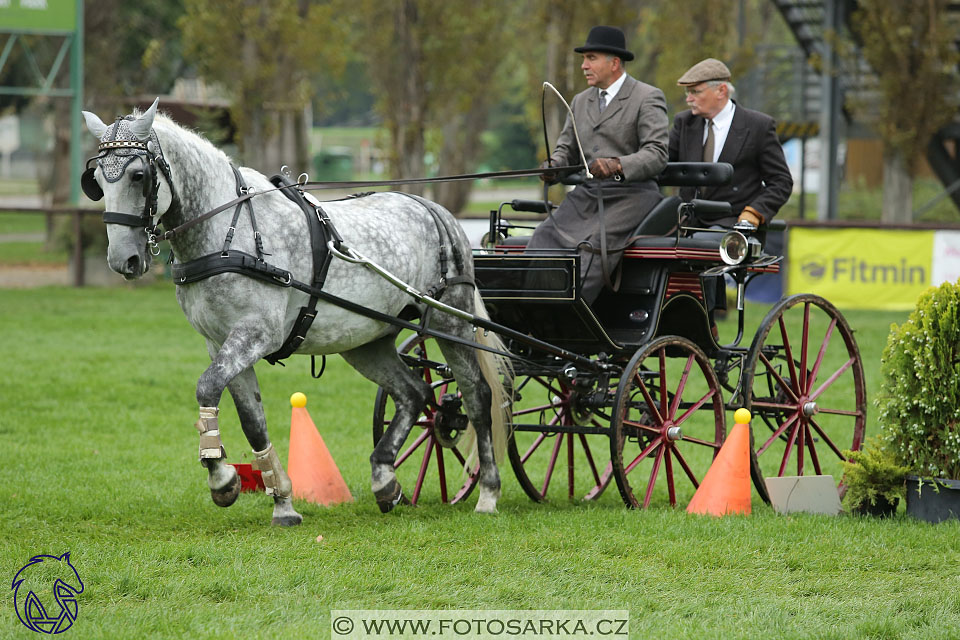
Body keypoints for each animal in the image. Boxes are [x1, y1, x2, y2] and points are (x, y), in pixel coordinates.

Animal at [84, 101, 510, 524]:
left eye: (139, 175)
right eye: (98, 182)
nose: (123, 259)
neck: (228, 233)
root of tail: (434, 209)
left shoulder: (255, 334)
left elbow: (206, 386)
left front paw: (221, 478)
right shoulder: (219, 342)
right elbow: (252, 420)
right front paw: (282, 501)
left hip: (451, 320)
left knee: (477, 396)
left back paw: (488, 492)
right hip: (366, 341)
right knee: (413, 392)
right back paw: (385, 479)